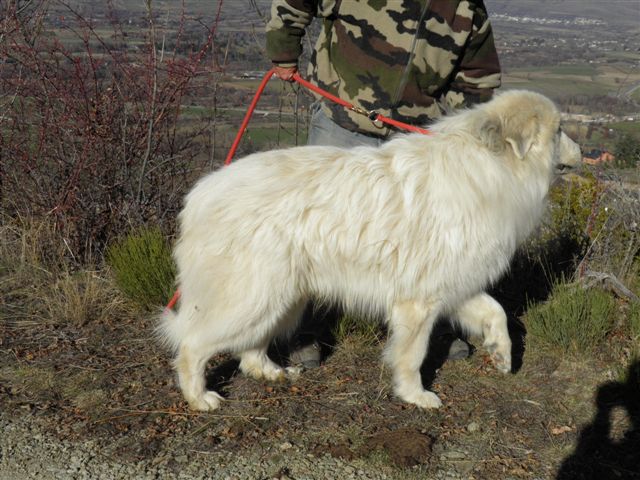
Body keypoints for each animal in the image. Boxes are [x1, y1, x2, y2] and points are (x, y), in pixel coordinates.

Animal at [159, 91, 580, 412]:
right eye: (559, 130)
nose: (583, 151)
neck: (489, 166)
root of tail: (200, 195)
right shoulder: (418, 302)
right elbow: (412, 356)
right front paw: (415, 396)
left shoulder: (454, 285)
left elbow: (497, 314)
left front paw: (502, 355)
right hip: (254, 296)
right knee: (193, 345)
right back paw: (200, 398)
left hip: (281, 298)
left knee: (249, 347)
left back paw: (270, 371)